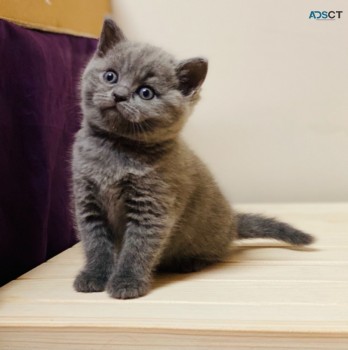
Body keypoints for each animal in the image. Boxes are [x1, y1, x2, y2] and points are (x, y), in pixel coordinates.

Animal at [72, 18, 314, 298]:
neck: (115, 148)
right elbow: (95, 243)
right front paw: (94, 276)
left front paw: (126, 282)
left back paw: (190, 262)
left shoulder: (153, 206)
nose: (119, 94)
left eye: (146, 93)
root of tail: (233, 222)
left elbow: (138, 247)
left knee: (215, 252)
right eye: (110, 76)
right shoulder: (88, 201)